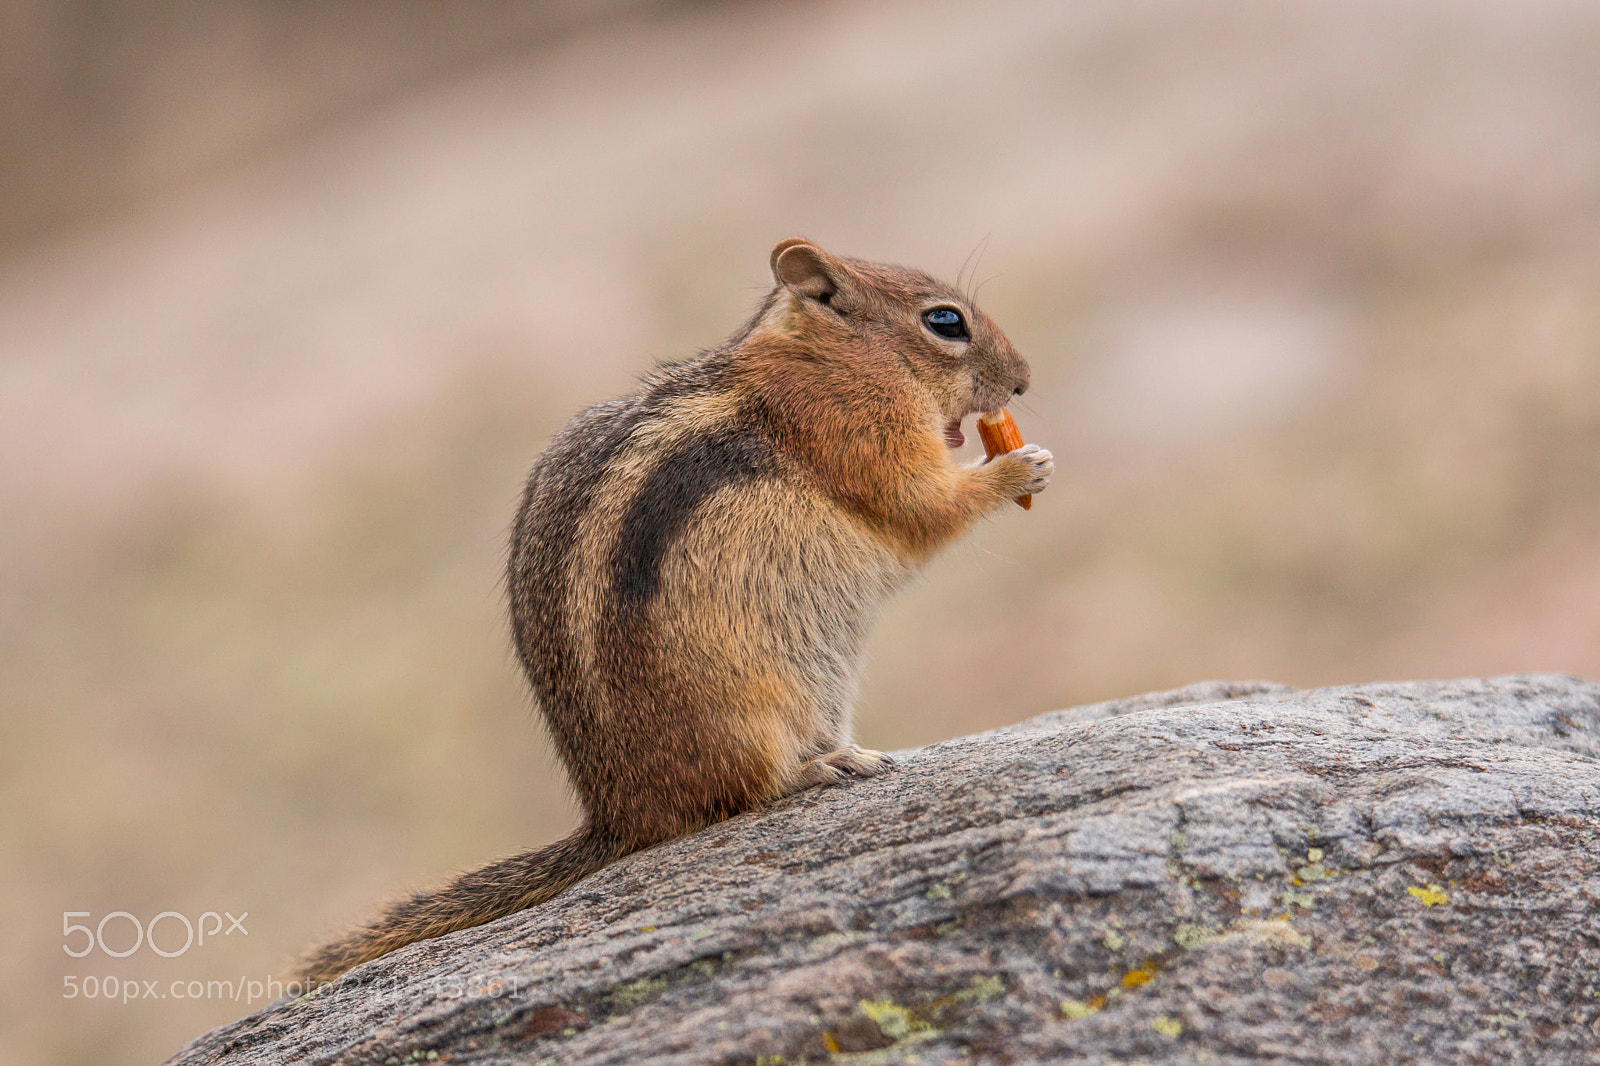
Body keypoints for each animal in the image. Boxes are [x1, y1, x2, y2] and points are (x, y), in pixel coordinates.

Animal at [299, 238, 1053, 985]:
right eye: (945, 321)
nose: (1022, 381)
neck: (823, 363)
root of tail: (622, 815)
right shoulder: (861, 437)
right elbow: (923, 505)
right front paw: (1021, 467)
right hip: (747, 712)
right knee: (742, 795)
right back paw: (822, 769)